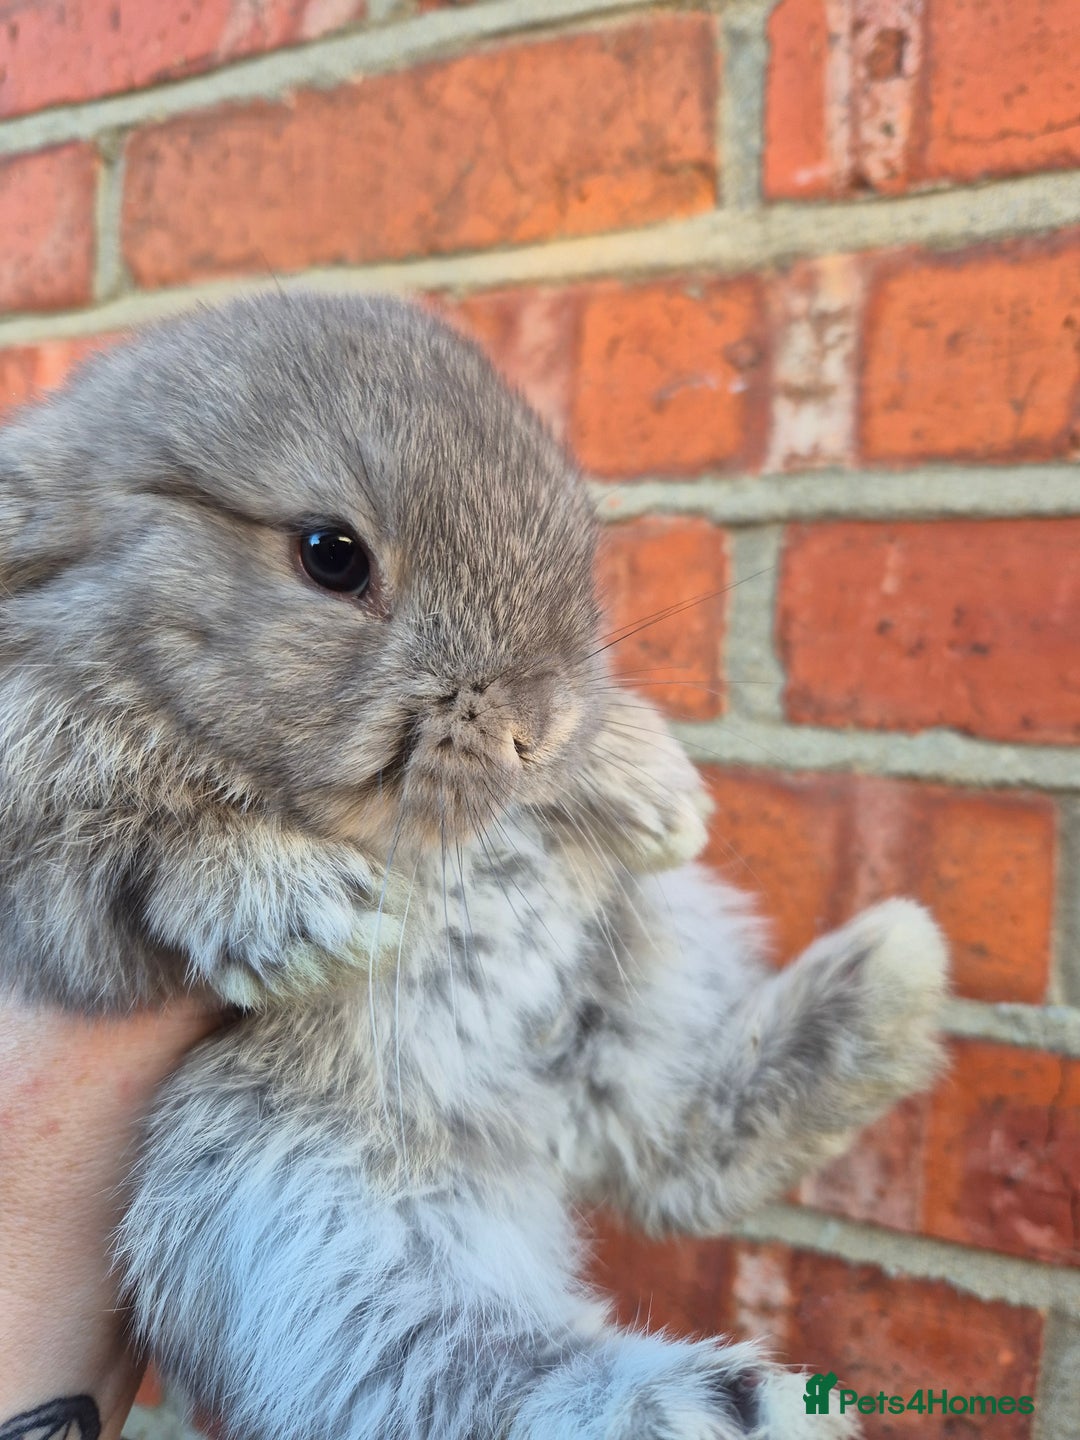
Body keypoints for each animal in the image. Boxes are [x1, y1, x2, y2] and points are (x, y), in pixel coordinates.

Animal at [0, 291, 949, 1440]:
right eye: (330, 555)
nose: (538, 729)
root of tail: (527, 1125)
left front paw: (655, 790)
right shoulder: (43, 860)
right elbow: (142, 850)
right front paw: (314, 913)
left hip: (645, 956)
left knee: (663, 1138)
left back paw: (890, 977)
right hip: (303, 1232)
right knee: (482, 1359)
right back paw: (721, 1403)